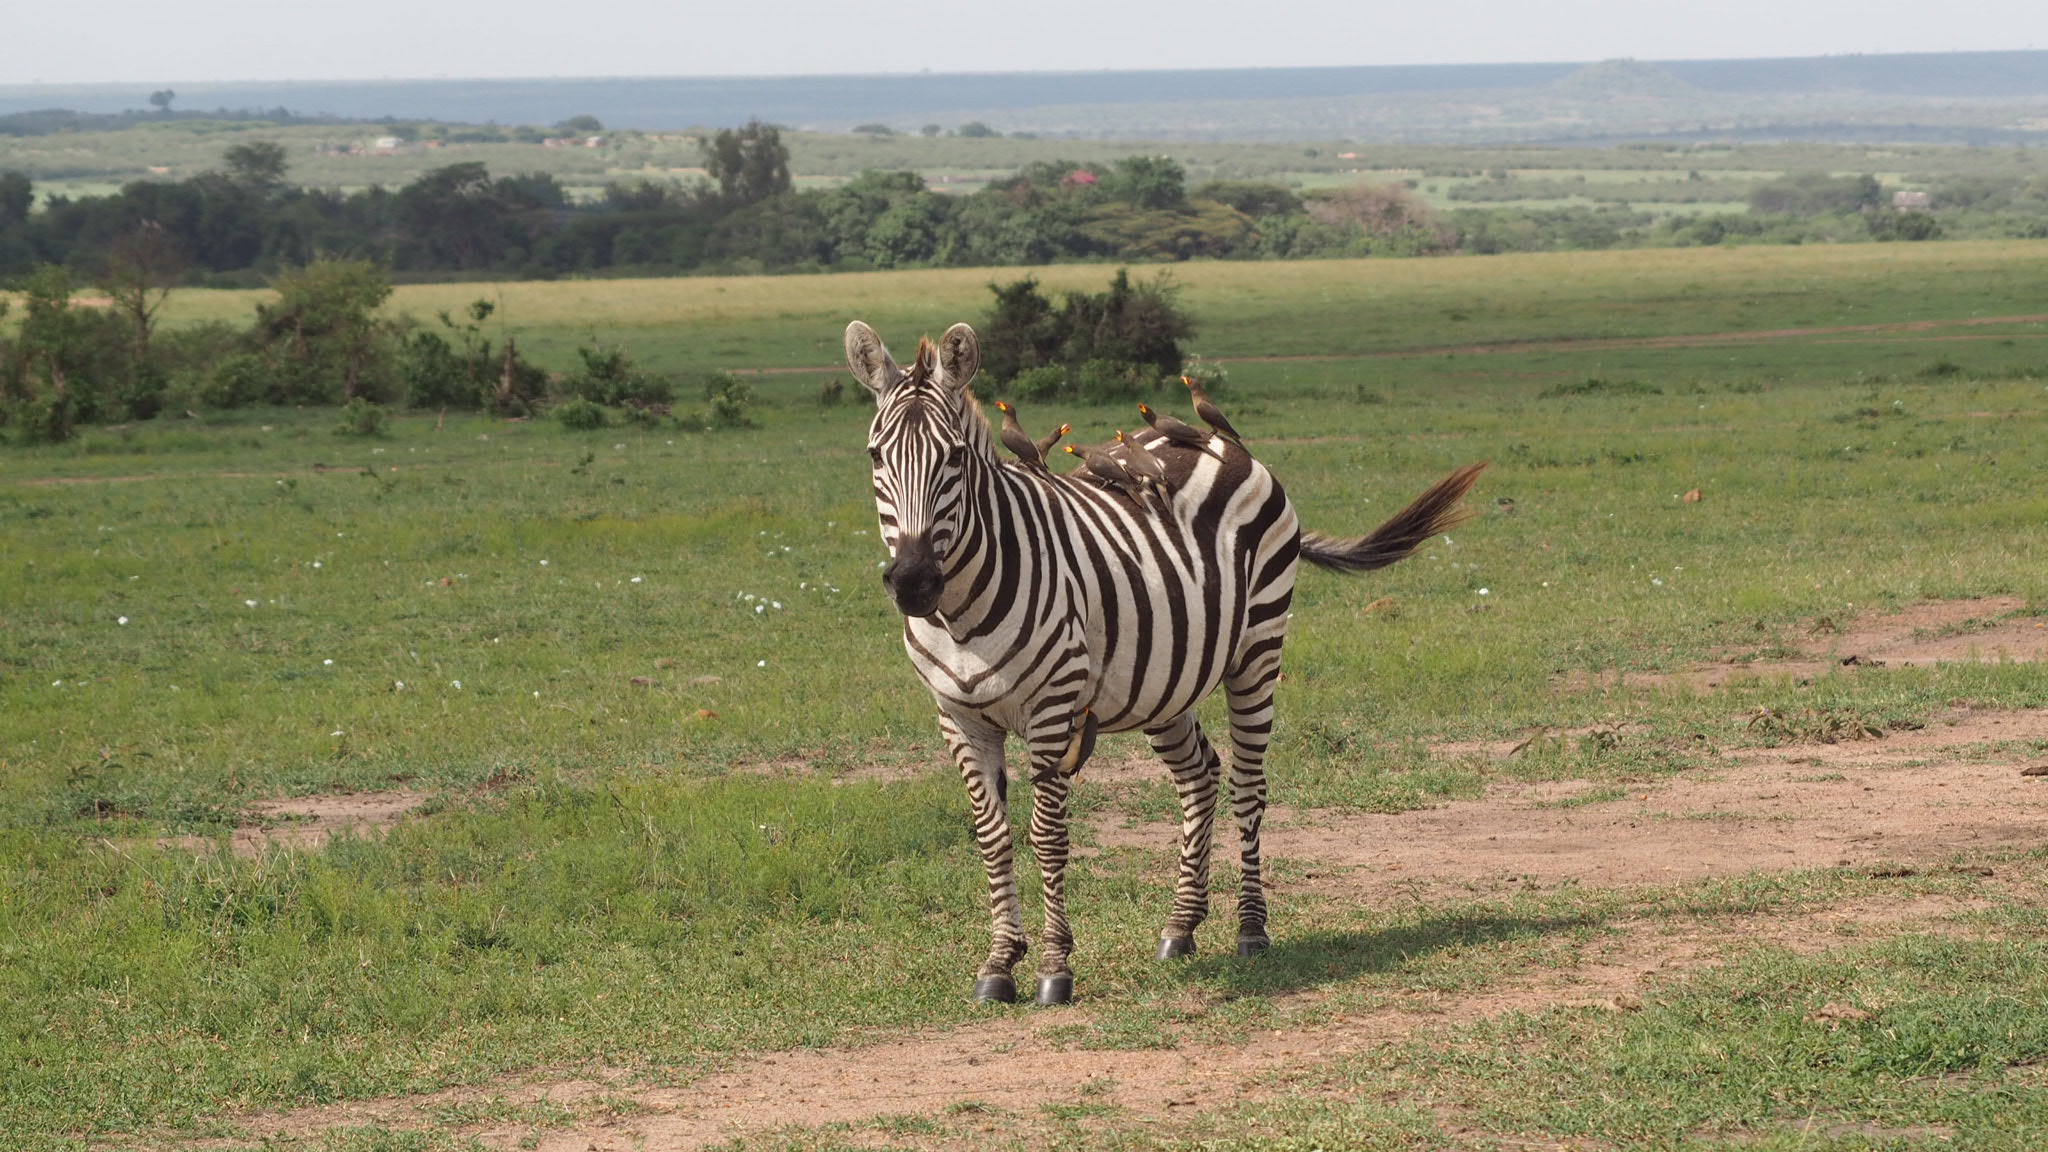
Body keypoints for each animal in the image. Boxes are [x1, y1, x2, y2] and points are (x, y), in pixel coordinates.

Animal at [847, 317, 1490, 1000]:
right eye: (875, 456)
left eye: (956, 458)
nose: (913, 583)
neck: (963, 613)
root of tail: (1218, 440)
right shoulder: (958, 716)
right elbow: (992, 838)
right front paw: (998, 964)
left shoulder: (1051, 707)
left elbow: (1047, 836)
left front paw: (1054, 967)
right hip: (1163, 681)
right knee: (1199, 776)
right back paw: (1181, 927)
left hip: (1258, 649)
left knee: (1247, 784)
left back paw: (1251, 930)